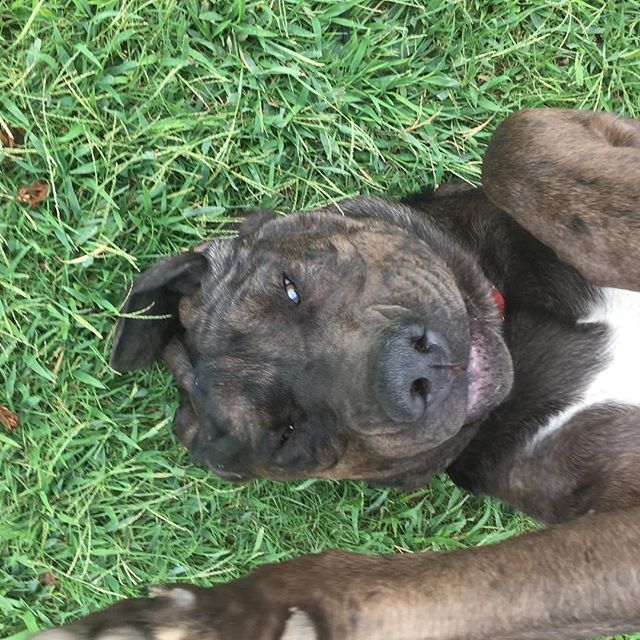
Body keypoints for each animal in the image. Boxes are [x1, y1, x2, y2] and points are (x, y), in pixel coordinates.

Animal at [33, 110, 640, 640]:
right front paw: (239, 615)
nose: (412, 372)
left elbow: (516, 147)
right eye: (288, 432)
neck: (515, 336)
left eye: (290, 286)